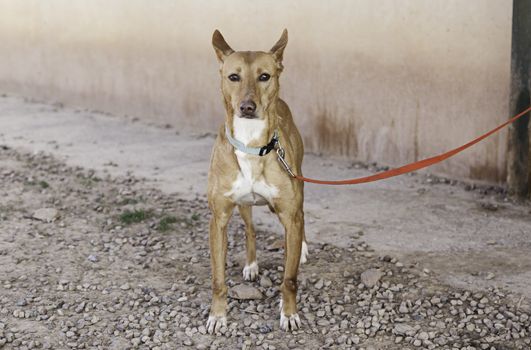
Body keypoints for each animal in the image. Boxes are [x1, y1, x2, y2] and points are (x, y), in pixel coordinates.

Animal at [207, 28, 308, 332]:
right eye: (233, 77)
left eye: (264, 76)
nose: (247, 107)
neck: (251, 145)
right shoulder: (218, 219)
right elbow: (218, 279)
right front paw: (217, 316)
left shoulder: (290, 215)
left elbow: (289, 279)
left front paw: (289, 314)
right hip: (243, 206)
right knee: (250, 230)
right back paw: (251, 264)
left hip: (299, 184)